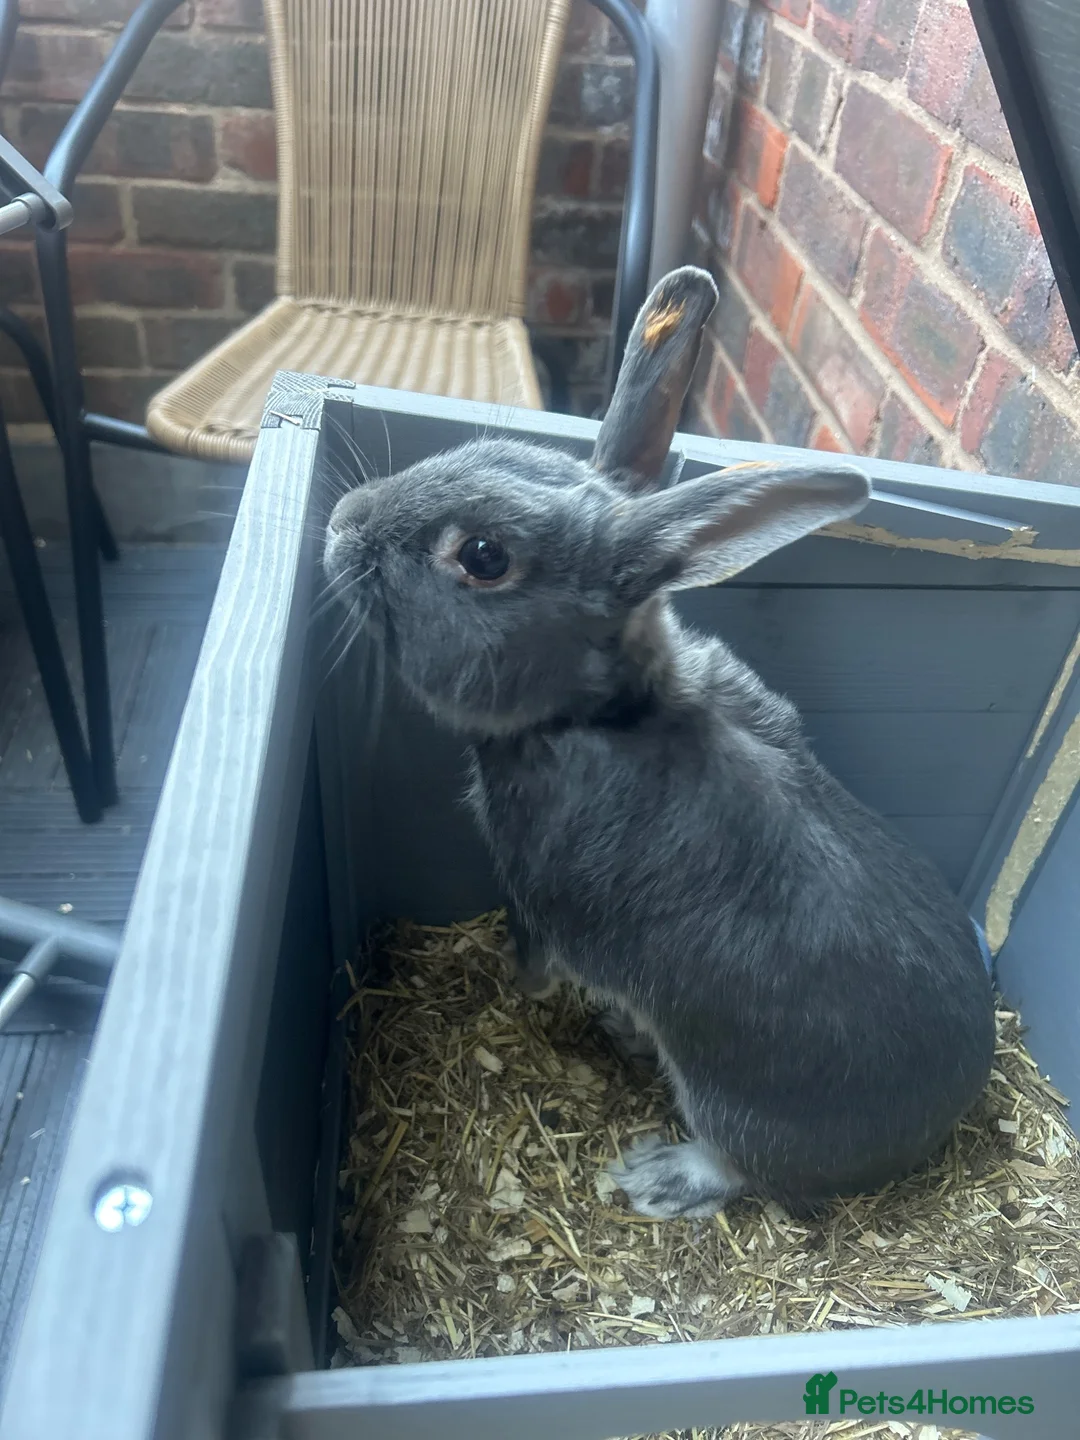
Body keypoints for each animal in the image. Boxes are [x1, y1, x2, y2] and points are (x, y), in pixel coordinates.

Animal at [323, 265, 997, 1218]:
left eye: (483, 556)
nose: (343, 521)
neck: (605, 712)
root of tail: (934, 1127)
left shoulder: (534, 893)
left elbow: (531, 960)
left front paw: (524, 994)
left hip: (730, 1101)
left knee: (742, 1165)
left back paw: (658, 1173)